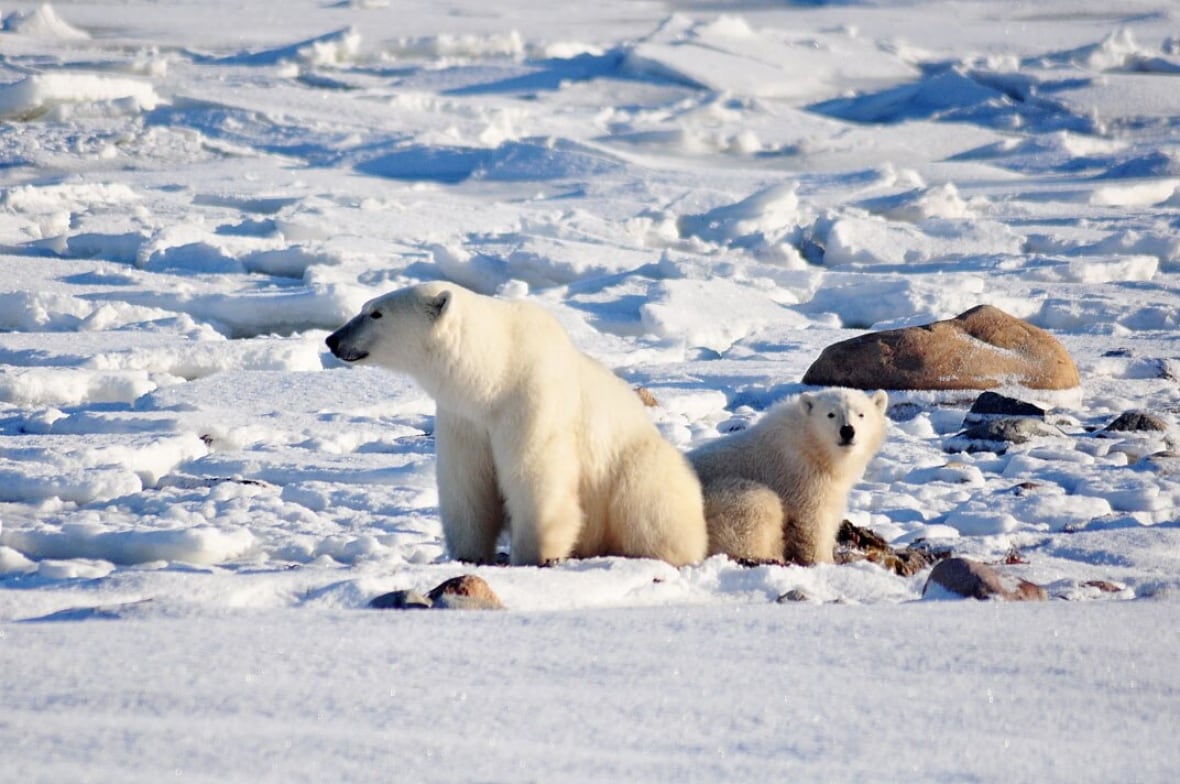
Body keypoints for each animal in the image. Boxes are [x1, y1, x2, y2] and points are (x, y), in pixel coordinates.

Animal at [328, 284, 703, 566]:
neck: (497, 372)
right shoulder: (464, 418)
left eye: (376, 313)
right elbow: (467, 483)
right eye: (364, 307)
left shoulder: (532, 402)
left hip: (634, 468)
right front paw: (468, 555)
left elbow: (536, 477)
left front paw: (533, 557)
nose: (332, 340)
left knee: (648, 506)